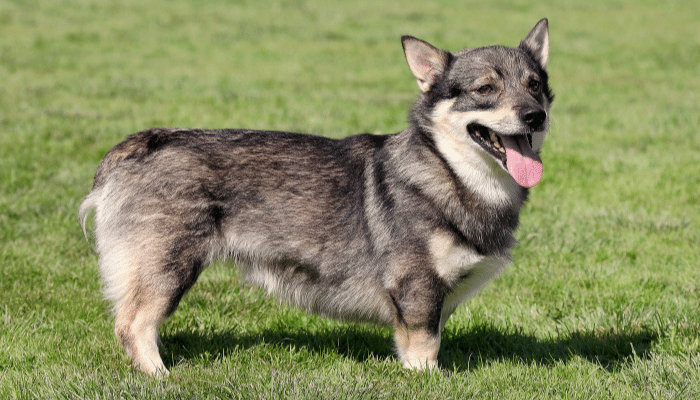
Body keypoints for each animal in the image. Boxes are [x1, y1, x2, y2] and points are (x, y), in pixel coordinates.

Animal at [79, 18, 556, 376]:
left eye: (534, 85)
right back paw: (160, 376)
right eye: (485, 89)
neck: (449, 171)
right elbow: (424, 347)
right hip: (168, 266)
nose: (535, 115)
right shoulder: (417, 288)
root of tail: (145, 143)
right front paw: (427, 381)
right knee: (133, 325)